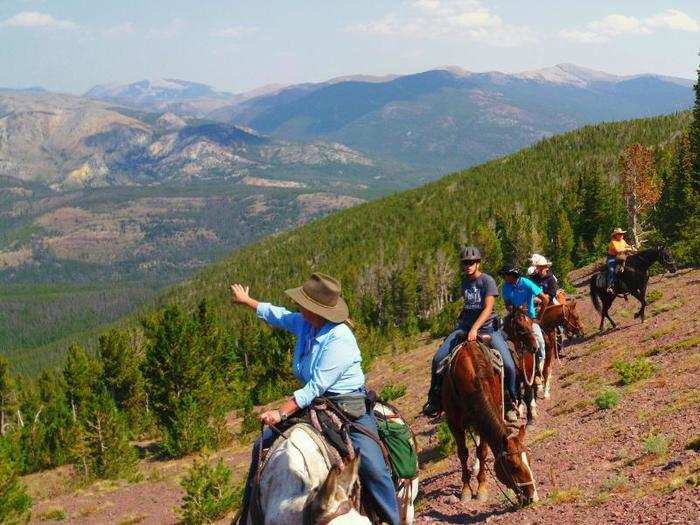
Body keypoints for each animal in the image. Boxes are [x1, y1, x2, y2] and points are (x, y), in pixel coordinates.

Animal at [442, 338, 540, 506]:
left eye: (529, 459)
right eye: (513, 466)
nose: (532, 497)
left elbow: (482, 451)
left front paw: (481, 488)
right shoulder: (454, 423)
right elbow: (462, 453)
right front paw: (466, 489)